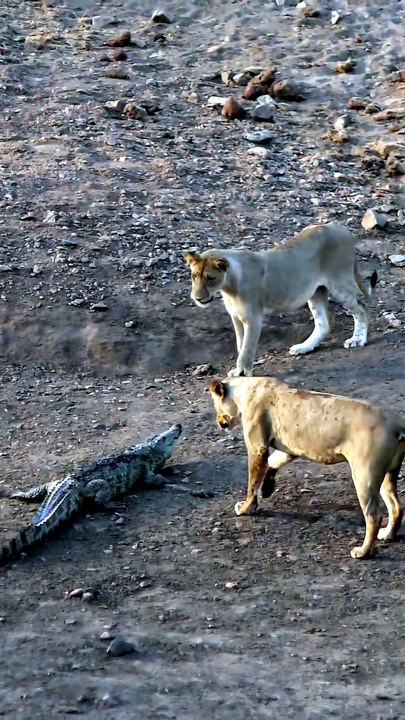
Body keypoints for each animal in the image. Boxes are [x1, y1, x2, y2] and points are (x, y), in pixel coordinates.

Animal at [185, 223, 377, 377]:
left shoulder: (253, 318)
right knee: (325, 322)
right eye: (194, 276)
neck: (229, 287)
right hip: (316, 291)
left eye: (210, 278)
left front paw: (243, 374)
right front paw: (238, 371)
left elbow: (246, 348)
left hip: (339, 283)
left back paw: (357, 340)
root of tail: (342, 229)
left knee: (361, 308)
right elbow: (240, 345)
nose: (197, 297)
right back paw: (304, 347)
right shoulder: (236, 318)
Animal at [208, 376, 405, 559]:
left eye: (215, 405)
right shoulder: (290, 448)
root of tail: (397, 424)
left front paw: (246, 507)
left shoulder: (257, 447)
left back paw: (363, 552)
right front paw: (267, 489)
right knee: (396, 507)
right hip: (387, 474)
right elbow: (272, 462)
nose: (219, 422)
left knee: (374, 516)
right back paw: (387, 534)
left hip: (364, 475)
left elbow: (252, 482)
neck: (244, 389)